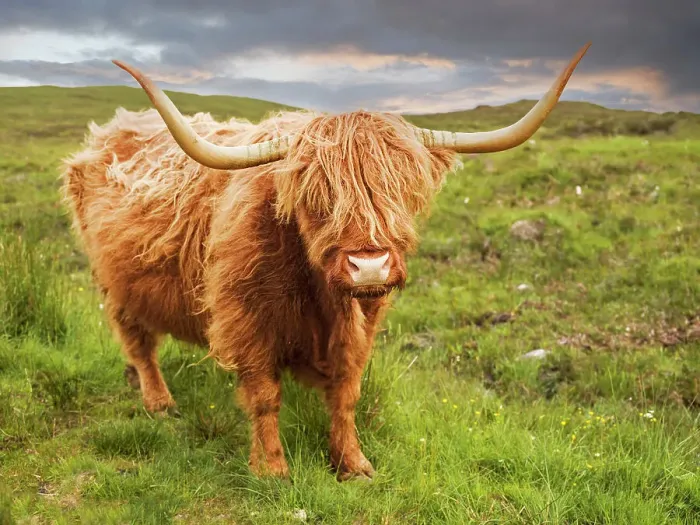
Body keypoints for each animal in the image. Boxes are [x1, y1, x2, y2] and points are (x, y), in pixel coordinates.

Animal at [61, 43, 589, 481]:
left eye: (401, 190)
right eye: (318, 196)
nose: (370, 265)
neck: (318, 296)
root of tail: (105, 134)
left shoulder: (362, 320)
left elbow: (347, 392)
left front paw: (352, 463)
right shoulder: (245, 319)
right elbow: (264, 395)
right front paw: (272, 470)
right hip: (114, 282)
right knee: (139, 342)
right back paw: (158, 401)